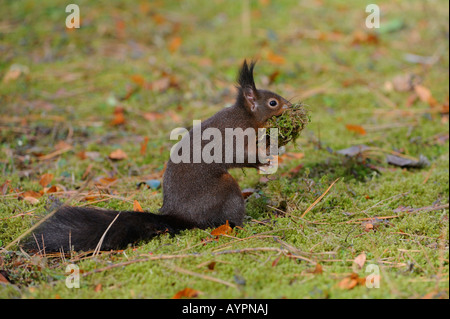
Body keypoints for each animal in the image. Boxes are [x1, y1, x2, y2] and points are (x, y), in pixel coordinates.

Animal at [24, 60, 292, 252]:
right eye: (273, 102)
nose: (290, 105)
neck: (244, 115)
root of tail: (178, 216)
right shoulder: (234, 138)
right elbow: (241, 157)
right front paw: (267, 158)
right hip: (225, 191)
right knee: (230, 218)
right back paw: (251, 224)